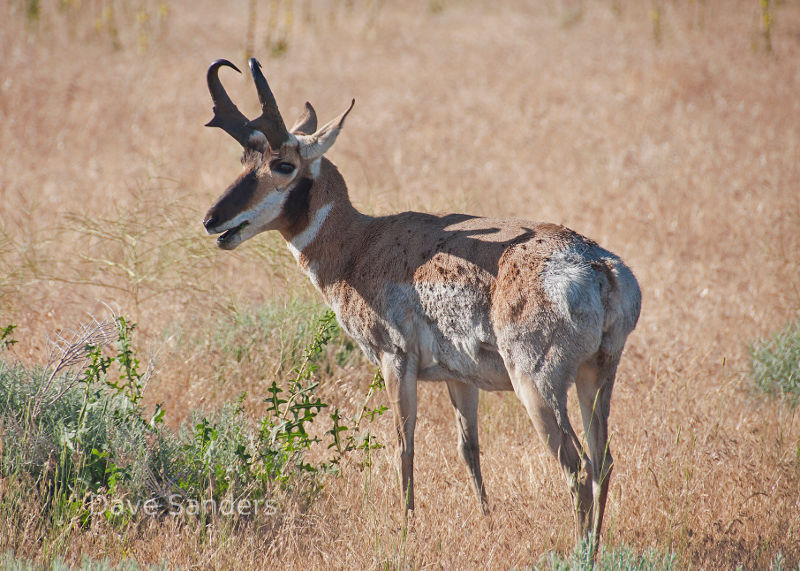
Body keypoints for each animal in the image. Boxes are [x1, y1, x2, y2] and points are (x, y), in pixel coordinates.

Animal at [202, 59, 644, 556]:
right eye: (243, 161)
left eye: (283, 164)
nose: (211, 221)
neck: (359, 244)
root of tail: (598, 266)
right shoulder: (460, 379)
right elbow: (468, 449)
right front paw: (486, 522)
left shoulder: (395, 361)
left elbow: (403, 445)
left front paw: (405, 530)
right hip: (596, 376)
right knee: (603, 460)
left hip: (538, 386)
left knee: (577, 466)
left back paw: (581, 552)